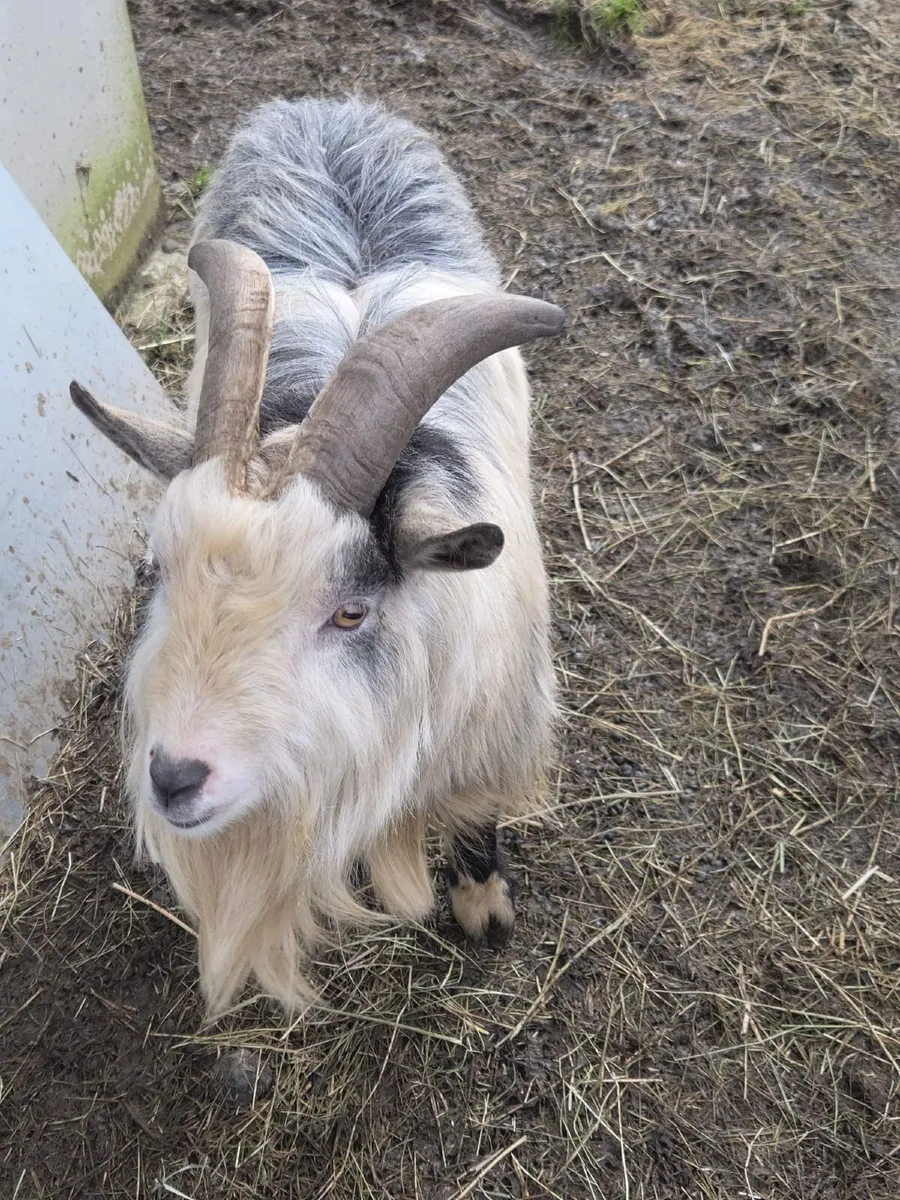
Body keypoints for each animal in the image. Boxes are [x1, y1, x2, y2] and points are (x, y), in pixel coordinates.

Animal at [69, 96, 564, 1017]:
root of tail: (325, 107)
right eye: (157, 571)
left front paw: (485, 912)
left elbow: (476, 819)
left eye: (349, 611)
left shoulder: (489, 732)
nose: (176, 778)